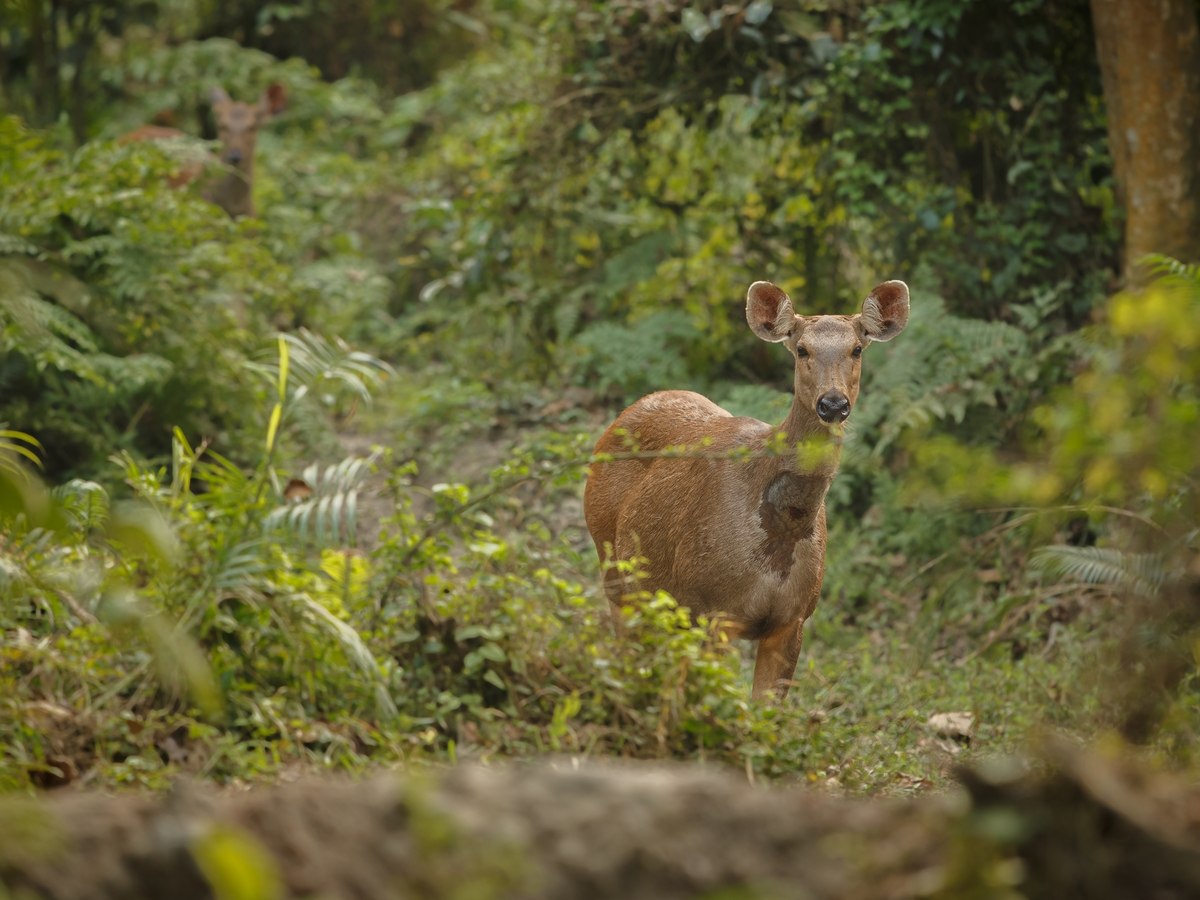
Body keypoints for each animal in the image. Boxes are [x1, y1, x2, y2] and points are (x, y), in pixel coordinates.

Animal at [583, 279, 910, 700]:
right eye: (801, 349)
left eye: (856, 348)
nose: (833, 403)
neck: (782, 532)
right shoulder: (716, 608)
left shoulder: (793, 618)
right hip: (612, 568)